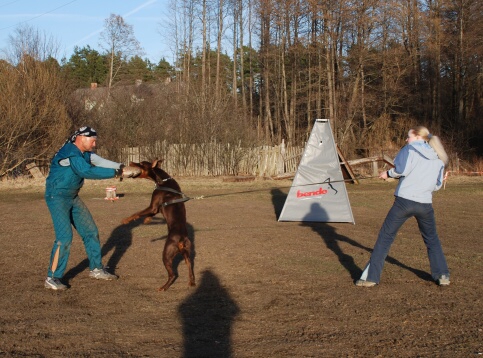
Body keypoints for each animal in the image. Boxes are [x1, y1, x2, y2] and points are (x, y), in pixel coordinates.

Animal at [122, 159, 196, 290]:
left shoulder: (153, 205)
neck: (163, 180)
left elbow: (138, 213)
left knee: (172, 274)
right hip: (187, 252)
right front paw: (147, 220)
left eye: (141, 163)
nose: (130, 162)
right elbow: (149, 214)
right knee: (189, 264)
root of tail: (181, 240)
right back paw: (191, 282)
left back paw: (164, 287)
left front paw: (126, 220)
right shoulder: (155, 208)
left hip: (166, 254)